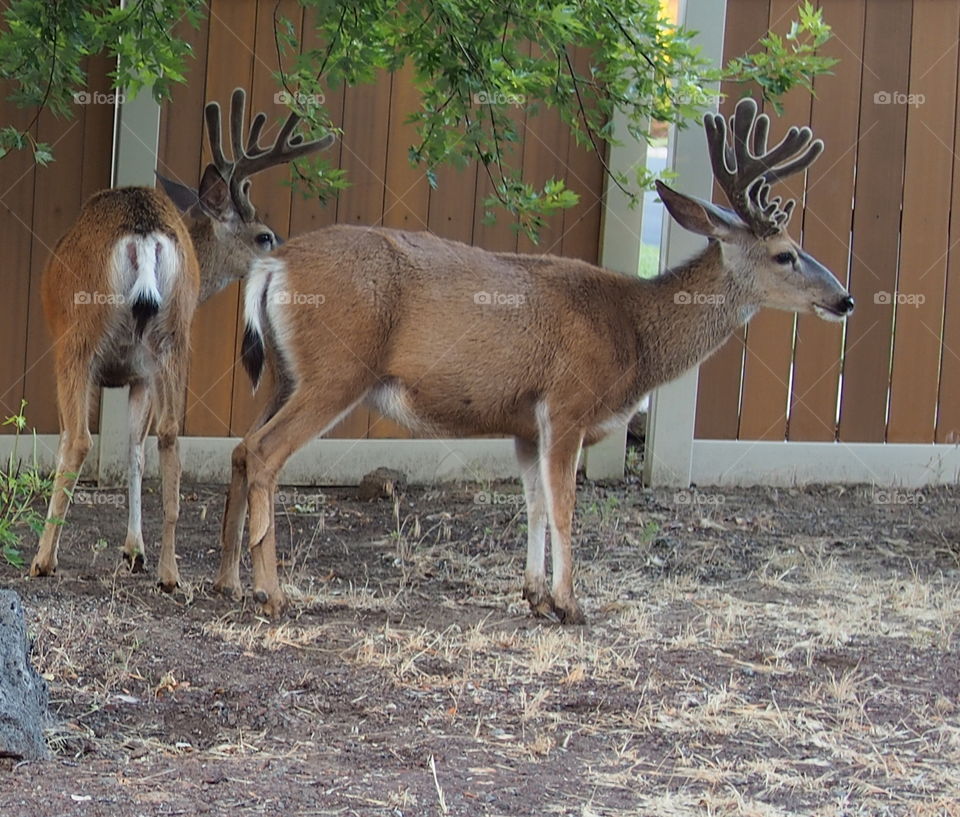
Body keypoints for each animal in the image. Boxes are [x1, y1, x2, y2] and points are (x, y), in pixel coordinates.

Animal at [29, 87, 334, 588]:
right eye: (265, 236)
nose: (290, 255)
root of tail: (146, 233)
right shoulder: (138, 375)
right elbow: (136, 451)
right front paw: (134, 550)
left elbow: (80, 442)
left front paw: (123, 550)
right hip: (172, 339)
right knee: (171, 436)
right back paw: (169, 572)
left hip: (79, 339)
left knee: (79, 440)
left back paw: (43, 559)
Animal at [214, 97, 852, 620]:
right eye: (786, 254)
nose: (844, 299)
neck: (634, 334)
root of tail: (273, 264)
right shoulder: (567, 401)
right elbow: (565, 505)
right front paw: (571, 604)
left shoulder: (525, 423)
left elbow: (535, 504)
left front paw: (535, 594)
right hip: (336, 371)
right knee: (265, 452)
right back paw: (272, 594)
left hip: (285, 373)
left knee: (242, 448)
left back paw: (228, 582)